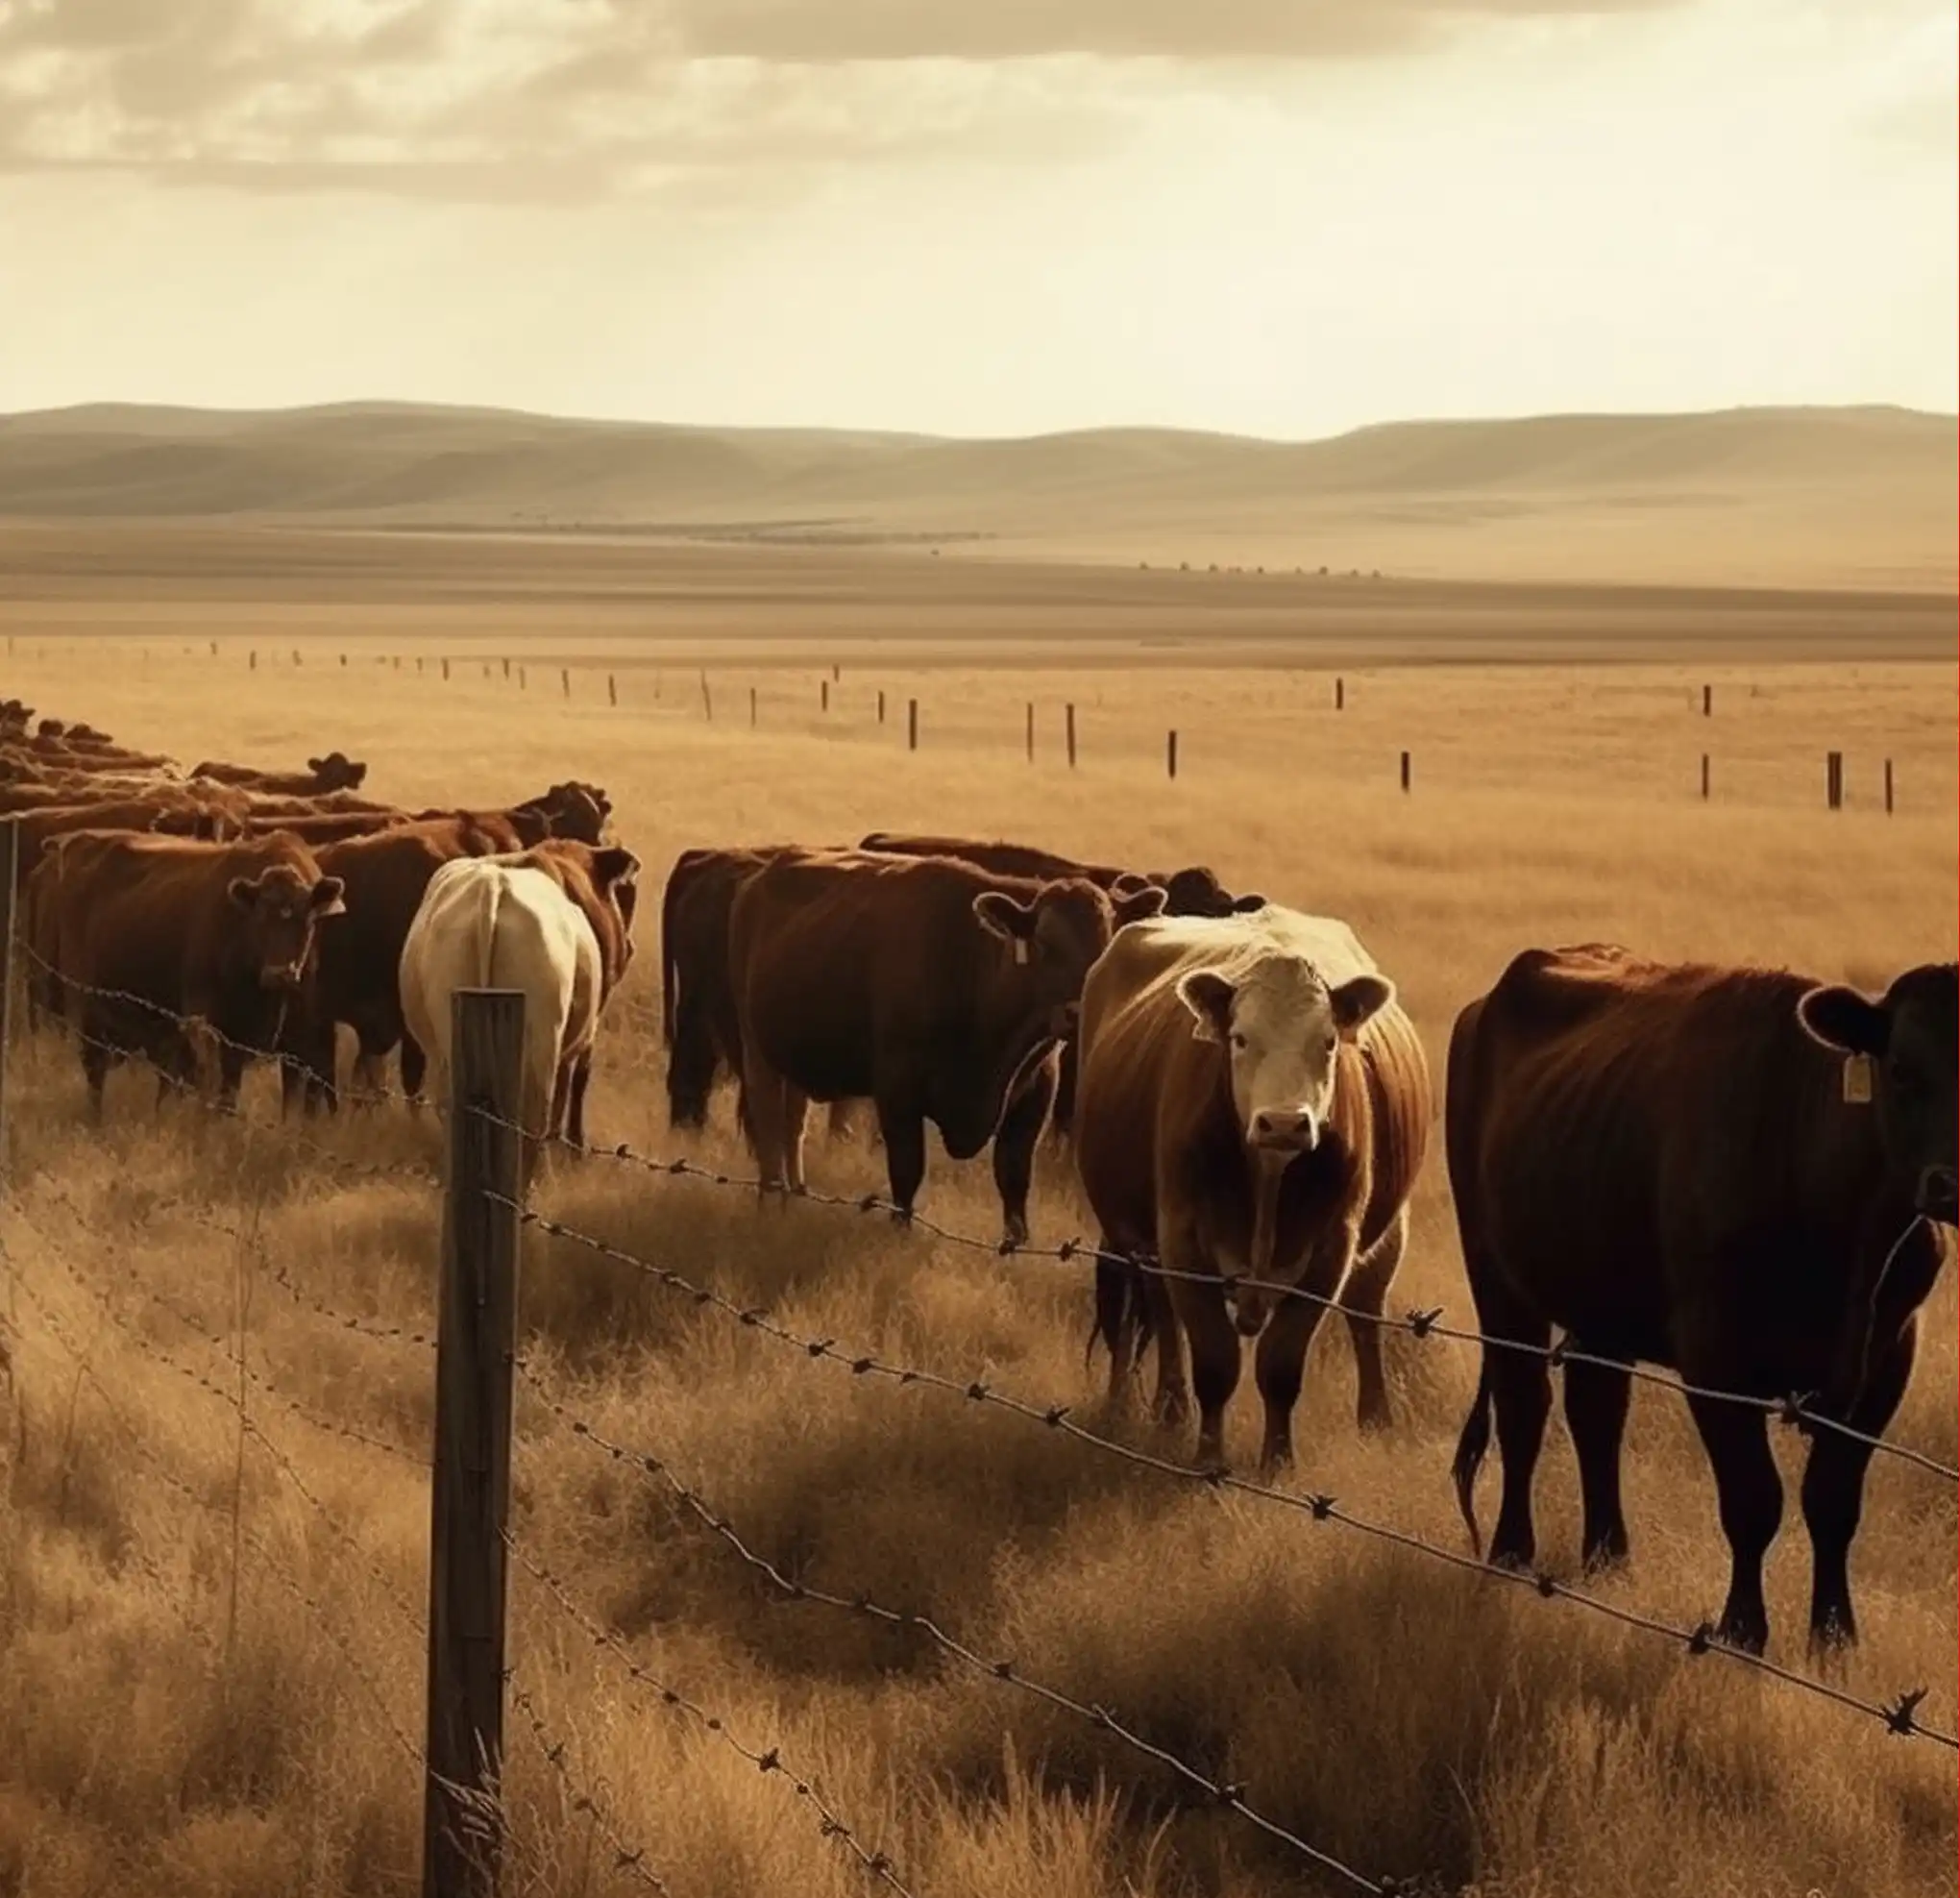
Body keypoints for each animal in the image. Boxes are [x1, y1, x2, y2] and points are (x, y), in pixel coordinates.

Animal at [33, 827, 345, 1113]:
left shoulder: (293, 1034)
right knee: (95, 1073)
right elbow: (215, 1085)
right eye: (259, 919)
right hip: (88, 1011)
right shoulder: (207, 1024)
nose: (279, 974)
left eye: (307, 920)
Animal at [398, 839, 643, 1176]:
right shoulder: (583, 1036)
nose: (629, 946)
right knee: (534, 1121)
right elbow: (574, 1087)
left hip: (448, 1043)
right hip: (542, 1044)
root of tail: (493, 888)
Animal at [732, 847, 1160, 1246]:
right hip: (756, 1050)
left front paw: (1015, 1245)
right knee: (768, 1123)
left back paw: (793, 1196)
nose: (1078, 1011)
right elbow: (907, 1173)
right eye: (1044, 943)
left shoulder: (1037, 1090)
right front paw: (900, 1232)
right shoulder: (897, 1091)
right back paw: (769, 1201)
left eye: (1109, 942)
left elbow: (1014, 1177)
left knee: (793, 1125)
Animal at [1073, 913, 1427, 1474]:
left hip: (1388, 1235)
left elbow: (1281, 1364)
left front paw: (1278, 1461)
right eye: (1239, 1039)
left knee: (1366, 1313)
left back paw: (1376, 1417)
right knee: (1161, 1314)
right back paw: (1169, 1408)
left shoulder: (1332, 1248)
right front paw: (1207, 1457)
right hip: (1141, 1243)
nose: (1283, 1123)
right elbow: (1214, 1359)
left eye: (1329, 1041)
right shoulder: (1182, 1240)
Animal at [1450, 949, 1951, 1663]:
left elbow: (1833, 1501)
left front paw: (1834, 1637)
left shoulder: (1889, 1357)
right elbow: (1753, 1499)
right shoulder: (1714, 1357)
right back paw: (1511, 1553)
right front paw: (1743, 1630)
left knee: (1596, 1411)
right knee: (1524, 1407)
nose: (1949, 1184)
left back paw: (1609, 1558)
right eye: (1904, 1070)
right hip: (1496, 1274)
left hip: (1601, 1295)